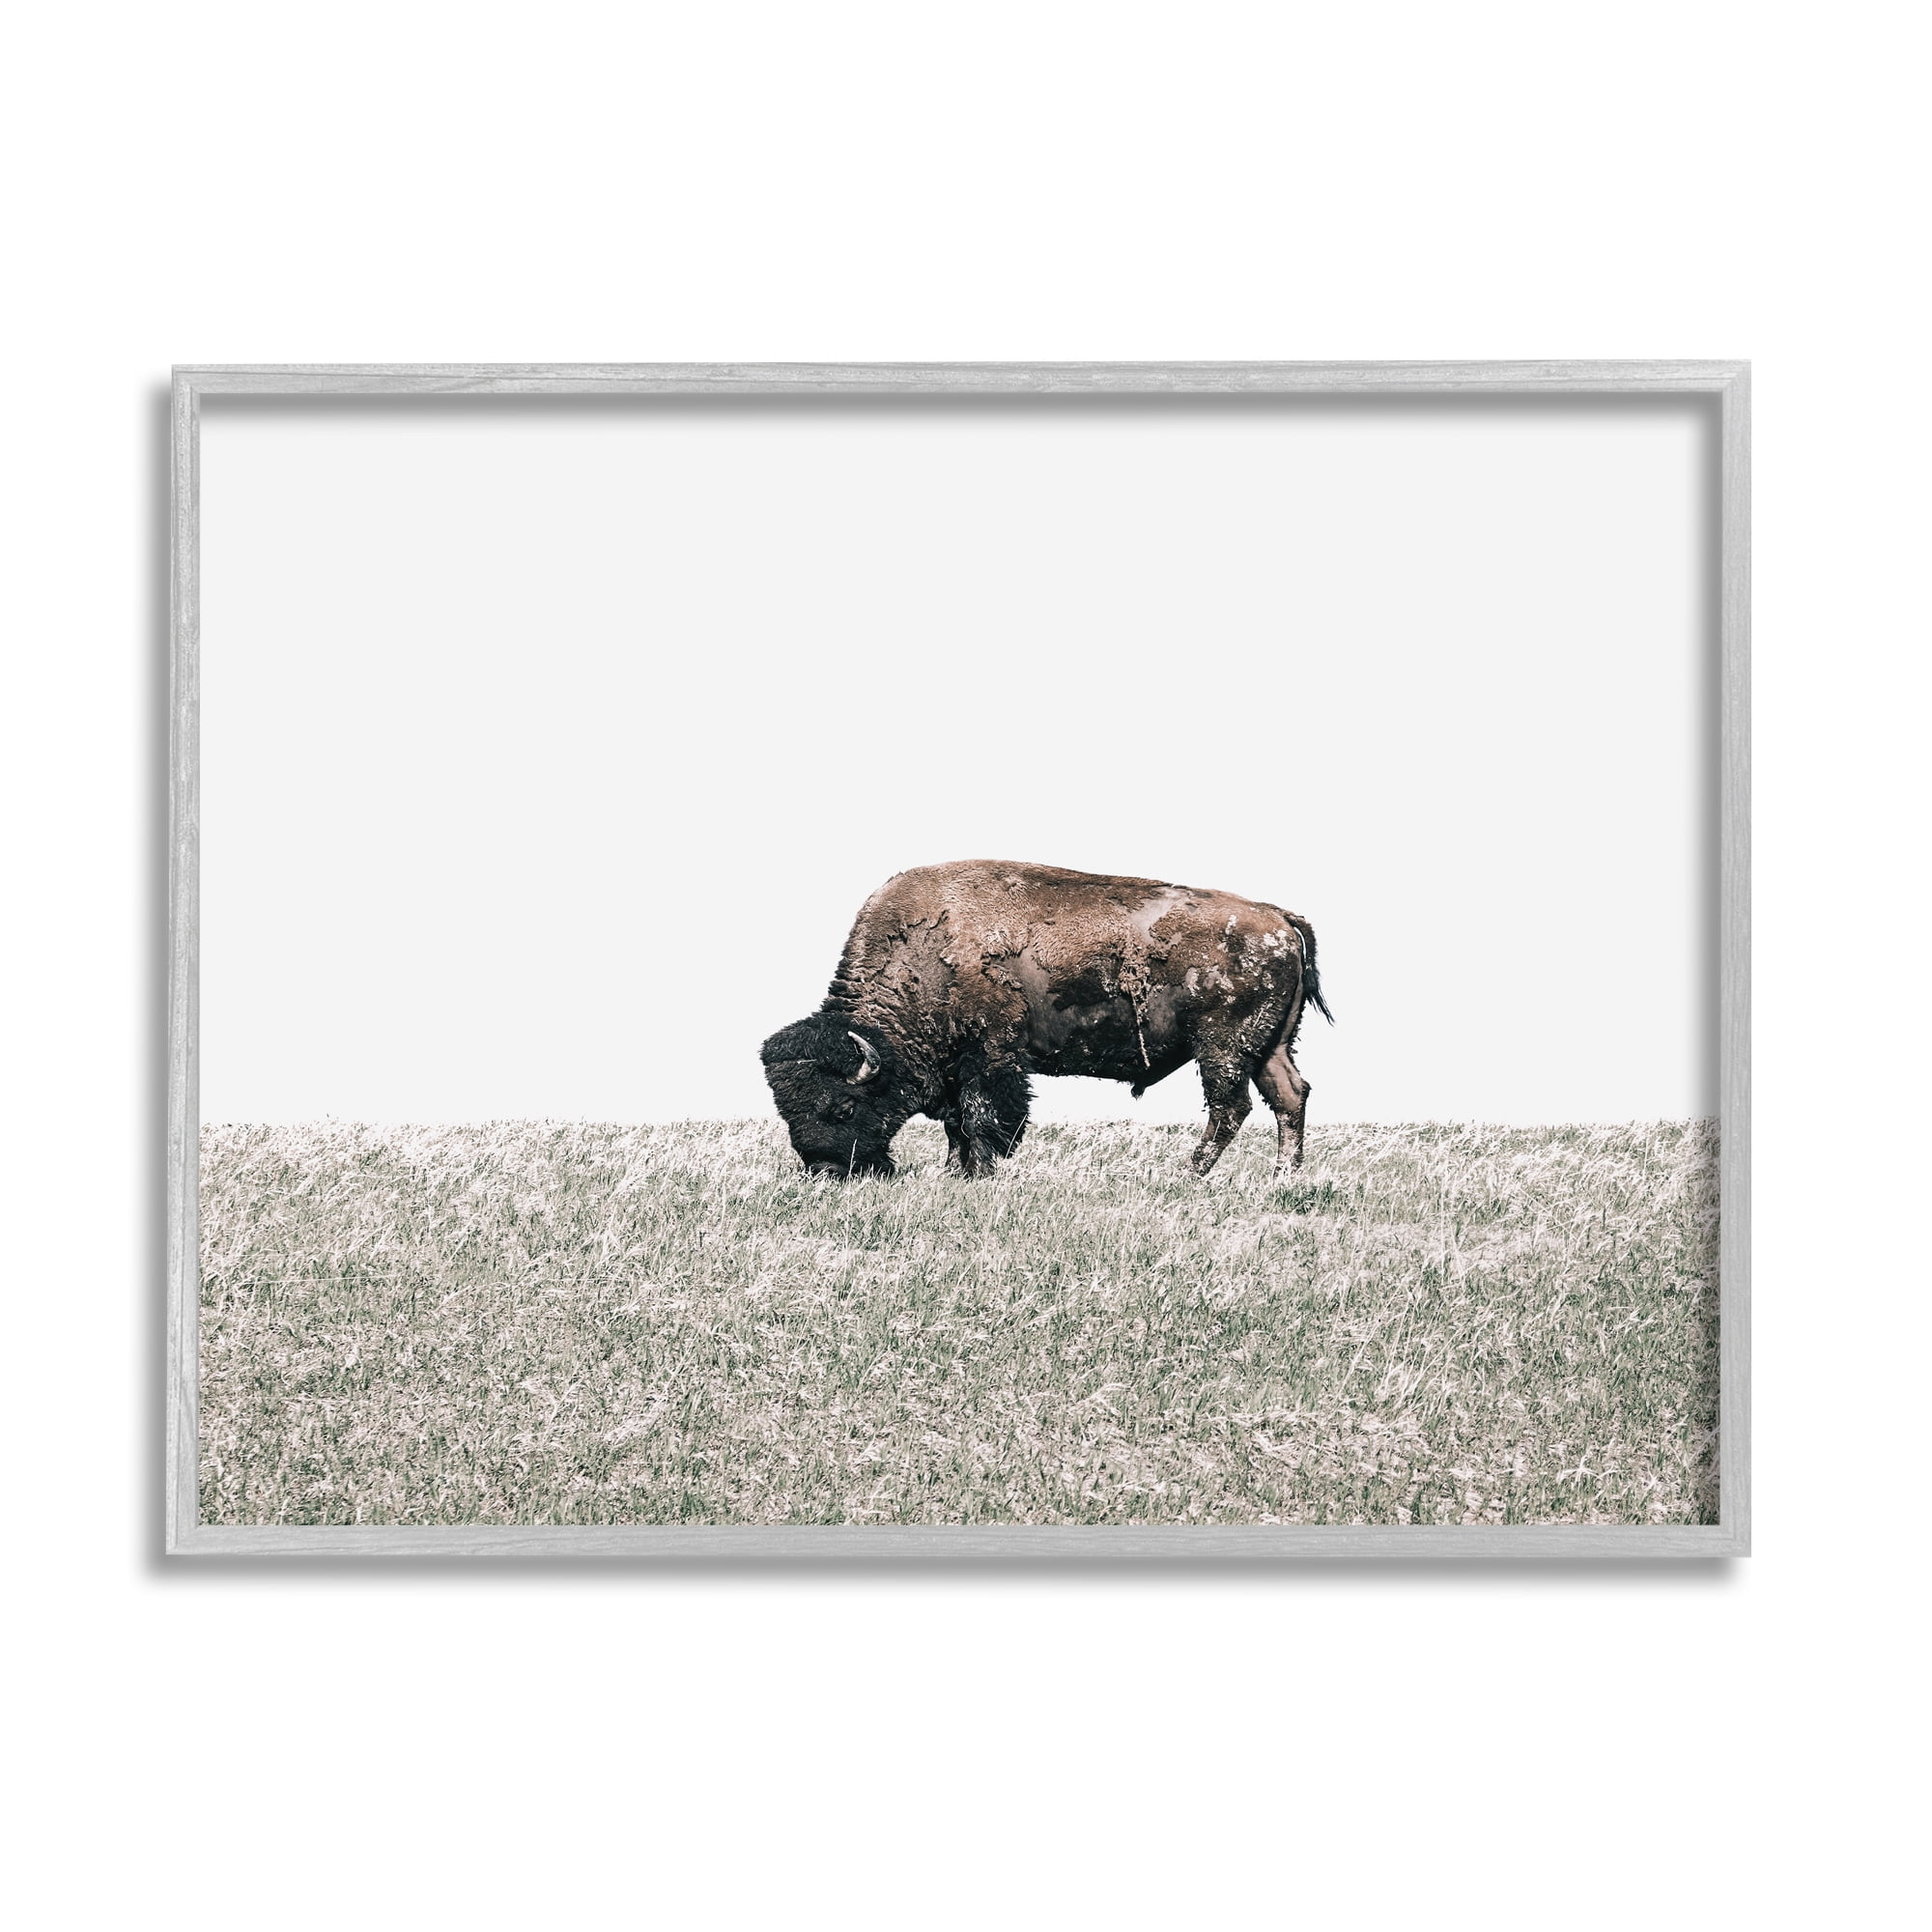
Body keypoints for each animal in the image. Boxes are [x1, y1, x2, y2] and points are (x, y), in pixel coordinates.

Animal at [761, 860, 1331, 1180]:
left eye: (840, 1106)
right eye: (786, 1111)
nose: (826, 1172)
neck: (926, 951)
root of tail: (1278, 917)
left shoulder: (991, 1056)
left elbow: (981, 1117)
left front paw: (980, 1174)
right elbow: (955, 1123)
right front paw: (955, 1172)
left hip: (1223, 1047)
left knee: (1230, 1108)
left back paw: (1186, 1176)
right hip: (1270, 1047)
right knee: (1290, 1097)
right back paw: (1282, 1178)